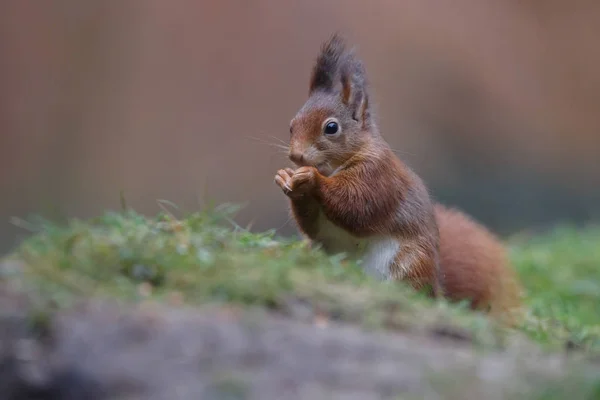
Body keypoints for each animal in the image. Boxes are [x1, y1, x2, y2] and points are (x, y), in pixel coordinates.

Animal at [274, 32, 524, 324]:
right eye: (291, 126)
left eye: (331, 128)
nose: (296, 156)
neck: (333, 167)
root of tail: (437, 287)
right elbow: (312, 223)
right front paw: (286, 179)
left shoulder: (379, 176)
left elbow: (356, 206)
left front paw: (312, 178)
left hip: (409, 263)